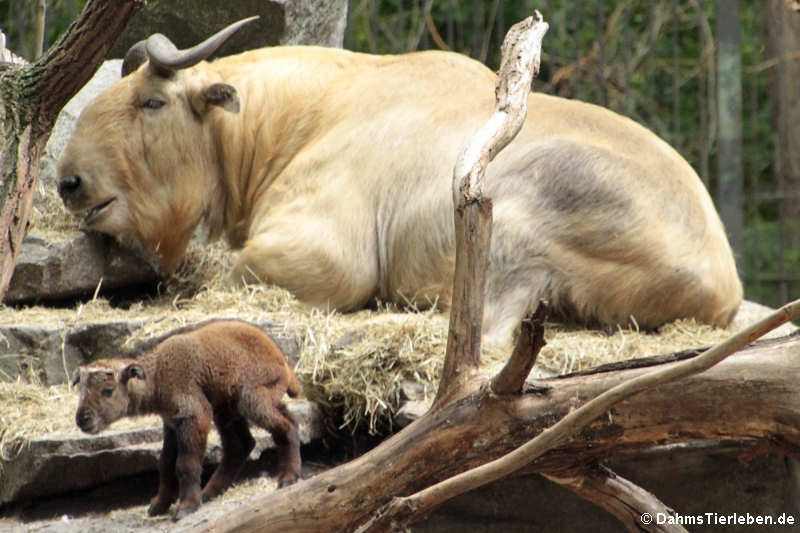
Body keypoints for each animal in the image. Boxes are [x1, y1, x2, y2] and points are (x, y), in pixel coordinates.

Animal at [73, 318, 304, 516]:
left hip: (251, 400)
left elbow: (185, 464)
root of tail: (283, 362)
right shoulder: (171, 423)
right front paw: (159, 505)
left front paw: (186, 507)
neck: (157, 372)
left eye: (108, 390)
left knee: (284, 428)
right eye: (81, 389)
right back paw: (209, 492)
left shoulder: (193, 415)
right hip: (229, 408)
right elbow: (166, 464)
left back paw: (288, 478)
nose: (82, 419)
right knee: (244, 443)